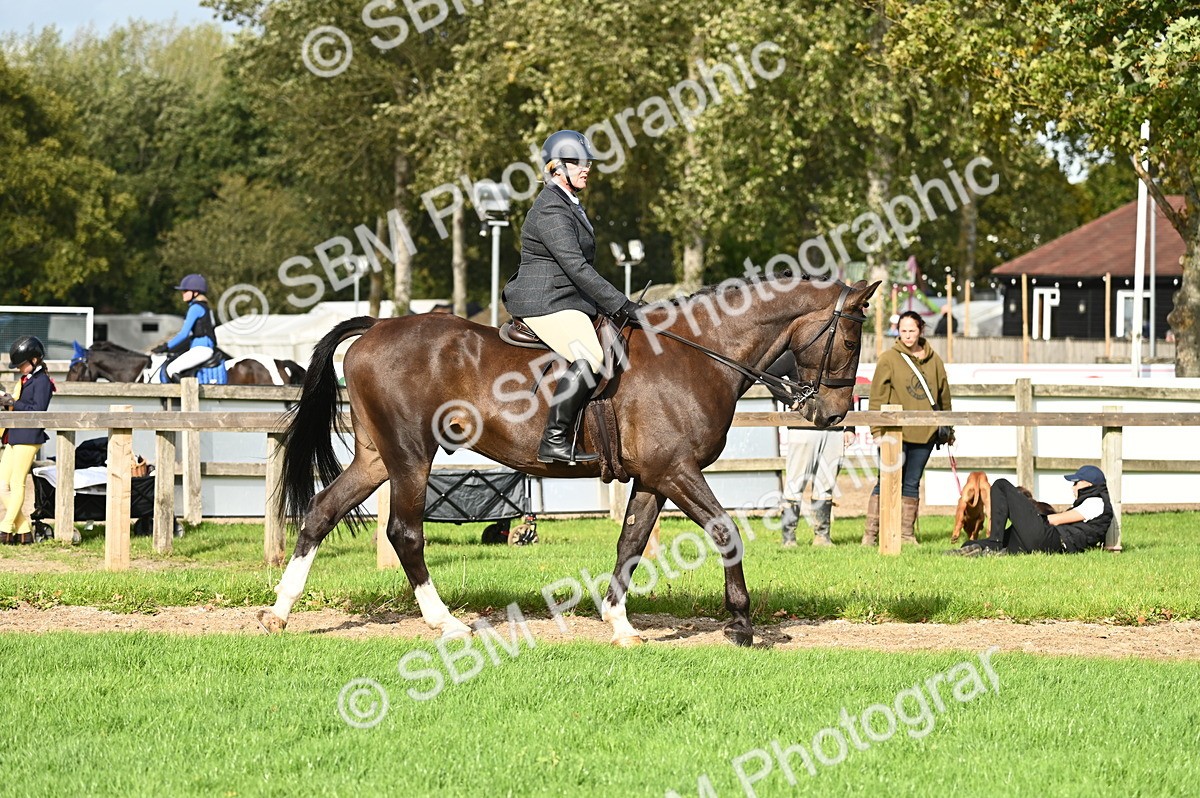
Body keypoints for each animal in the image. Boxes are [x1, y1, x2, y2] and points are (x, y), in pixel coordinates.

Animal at [262, 276, 878, 647]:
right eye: (851, 343)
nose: (832, 415)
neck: (697, 355)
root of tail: (378, 326)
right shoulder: (677, 471)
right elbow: (726, 531)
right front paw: (742, 624)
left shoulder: (654, 478)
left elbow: (631, 543)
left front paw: (620, 625)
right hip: (411, 456)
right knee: (404, 533)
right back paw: (447, 623)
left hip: (376, 459)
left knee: (321, 513)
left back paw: (279, 613)